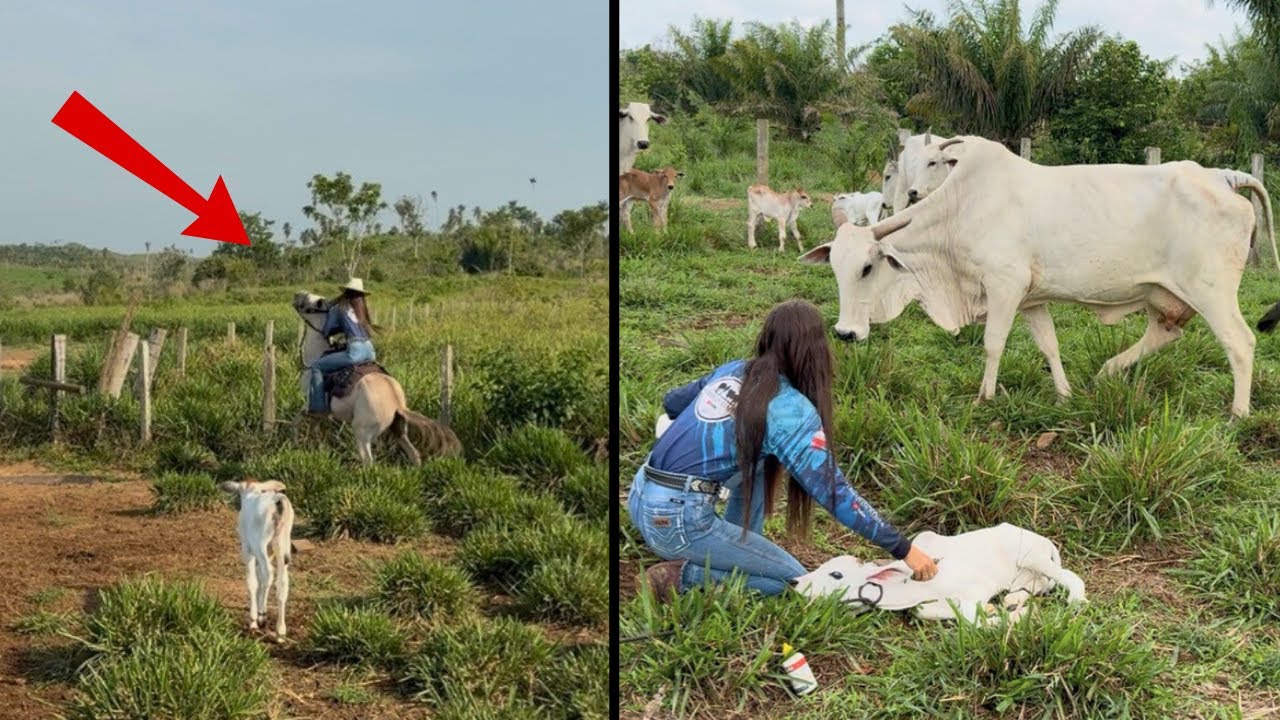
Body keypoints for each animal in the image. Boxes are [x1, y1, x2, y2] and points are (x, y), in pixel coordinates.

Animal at [793, 523, 1086, 626]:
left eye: (836, 575)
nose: (797, 582)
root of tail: (1044, 541)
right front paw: (1003, 611)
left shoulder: (976, 589)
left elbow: (971, 618)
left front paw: (1016, 617)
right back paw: (1012, 600)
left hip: (1032, 556)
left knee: (1070, 576)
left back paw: (1076, 600)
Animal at [800, 135, 1276, 418]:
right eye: (835, 268)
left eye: (866, 267)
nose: (844, 333)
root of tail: (1222, 176)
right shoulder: (1031, 299)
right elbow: (1050, 346)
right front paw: (1065, 394)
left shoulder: (1004, 285)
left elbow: (993, 343)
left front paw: (985, 397)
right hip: (1165, 295)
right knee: (1166, 333)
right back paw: (1106, 373)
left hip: (1211, 292)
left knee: (1240, 343)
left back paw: (1237, 415)